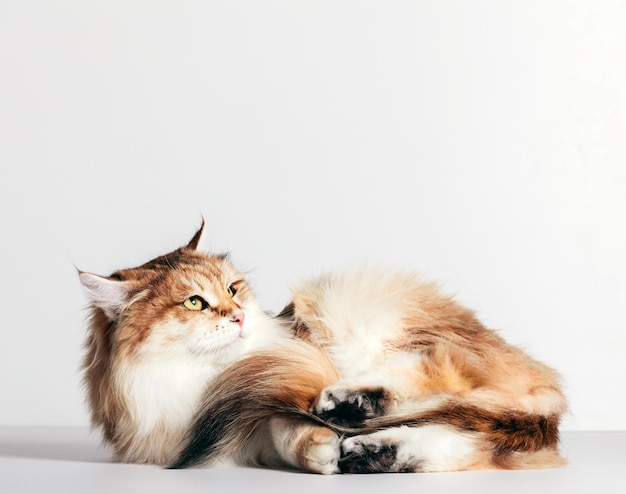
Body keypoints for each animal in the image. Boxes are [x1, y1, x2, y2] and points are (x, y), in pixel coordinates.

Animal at [79, 222, 564, 472]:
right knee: (459, 439)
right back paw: (373, 452)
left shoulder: (283, 371)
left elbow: (285, 426)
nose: (238, 317)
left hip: (393, 336)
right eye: (195, 302)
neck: (204, 383)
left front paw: (321, 449)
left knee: (429, 380)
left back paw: (348, 407)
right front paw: (329, 450)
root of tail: (547, 388)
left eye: (233, 290)